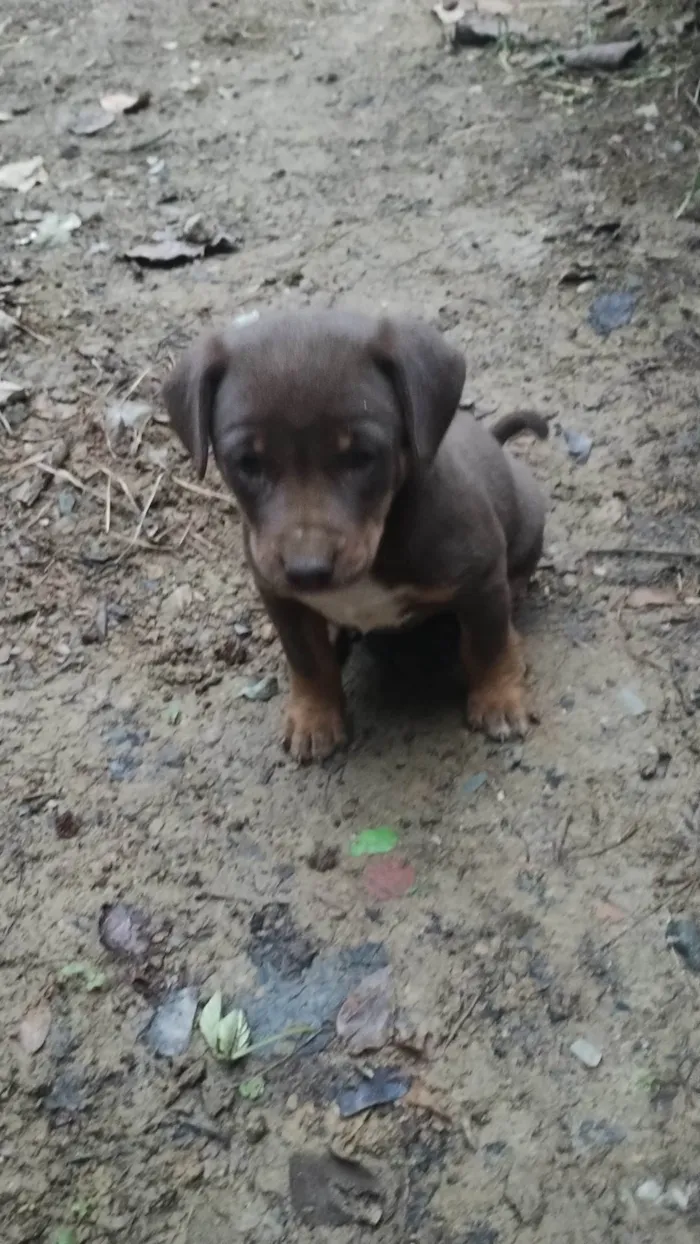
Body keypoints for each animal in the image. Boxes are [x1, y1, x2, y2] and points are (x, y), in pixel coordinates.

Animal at [162, 306, 547, 761]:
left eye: (362, 456)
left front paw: (498, 700)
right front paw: (314, 718)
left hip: (529, 520)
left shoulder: (481, 575)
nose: (307, 571)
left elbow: (487, 646)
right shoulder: (279, 596)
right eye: (247, 463)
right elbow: (308, 662)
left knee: (513, 590)